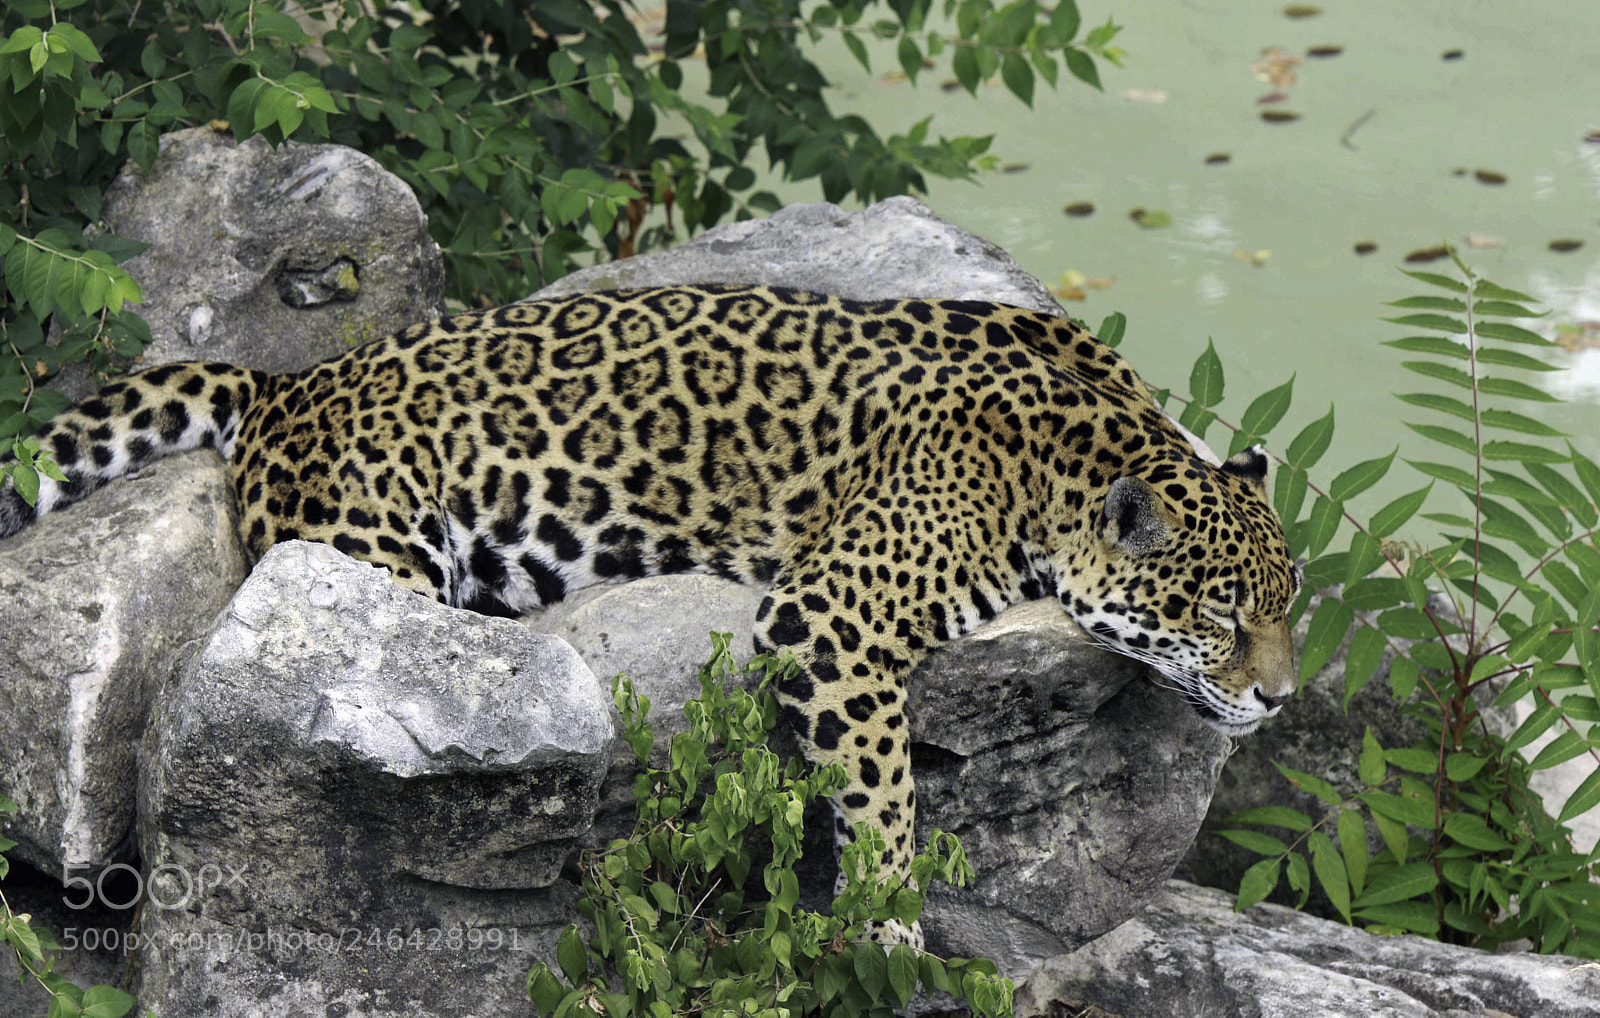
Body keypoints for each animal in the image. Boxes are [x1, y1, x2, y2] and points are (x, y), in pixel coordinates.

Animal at [0, 284, 1300, 943]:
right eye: (1222, 613)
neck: (1068, 455)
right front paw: (885, 927)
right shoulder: (831, 613)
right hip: (375, 559)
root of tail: (285, 381)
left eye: (1290, 610)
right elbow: (884, 790)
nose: (1281, 696)